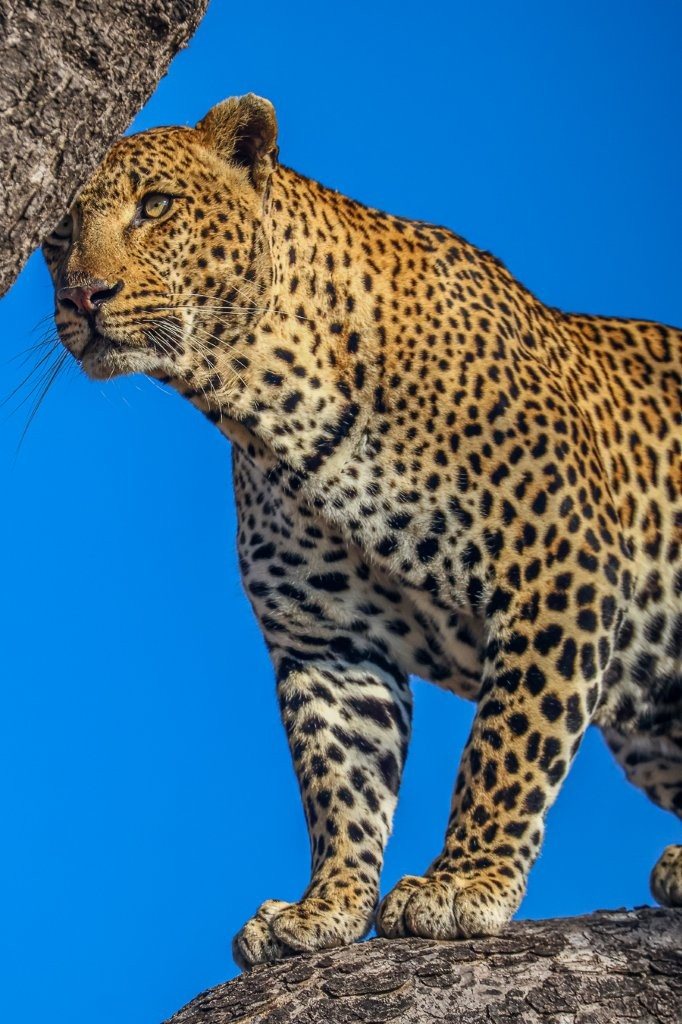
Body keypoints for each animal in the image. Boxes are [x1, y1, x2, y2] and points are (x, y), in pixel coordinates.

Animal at [42, 94, 682, 969]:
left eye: (157, 206)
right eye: (56, 237)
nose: (85, 298)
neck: (263, 402)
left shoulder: (559, 568)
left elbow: (507, 745)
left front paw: (462, 883)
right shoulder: (327, 642)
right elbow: (341, 784)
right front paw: (324, 908)